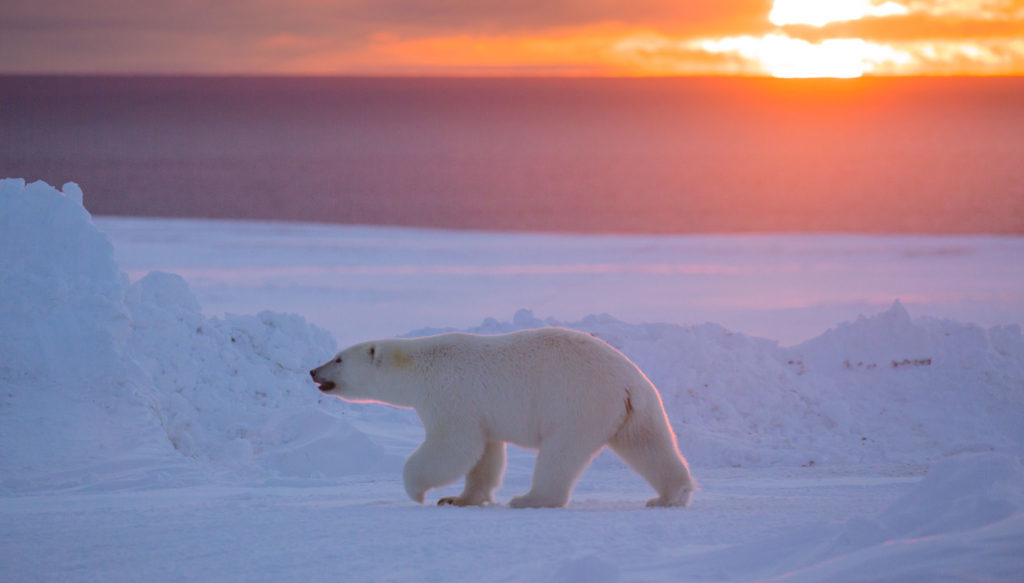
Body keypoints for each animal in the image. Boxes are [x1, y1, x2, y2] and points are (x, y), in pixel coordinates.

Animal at [311, 325, 696, 506]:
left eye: (338, 358)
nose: (314, 371)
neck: (419, 366)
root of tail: (629, 381)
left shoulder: (450, 395)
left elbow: (454, 446)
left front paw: (417, 490)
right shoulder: (481, 410)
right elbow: (485, 454)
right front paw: (458, 499)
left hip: (577, 402)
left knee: (560, 452)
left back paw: (531, 499)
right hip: (636, 409)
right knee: (649, 445)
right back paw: (669, 496)